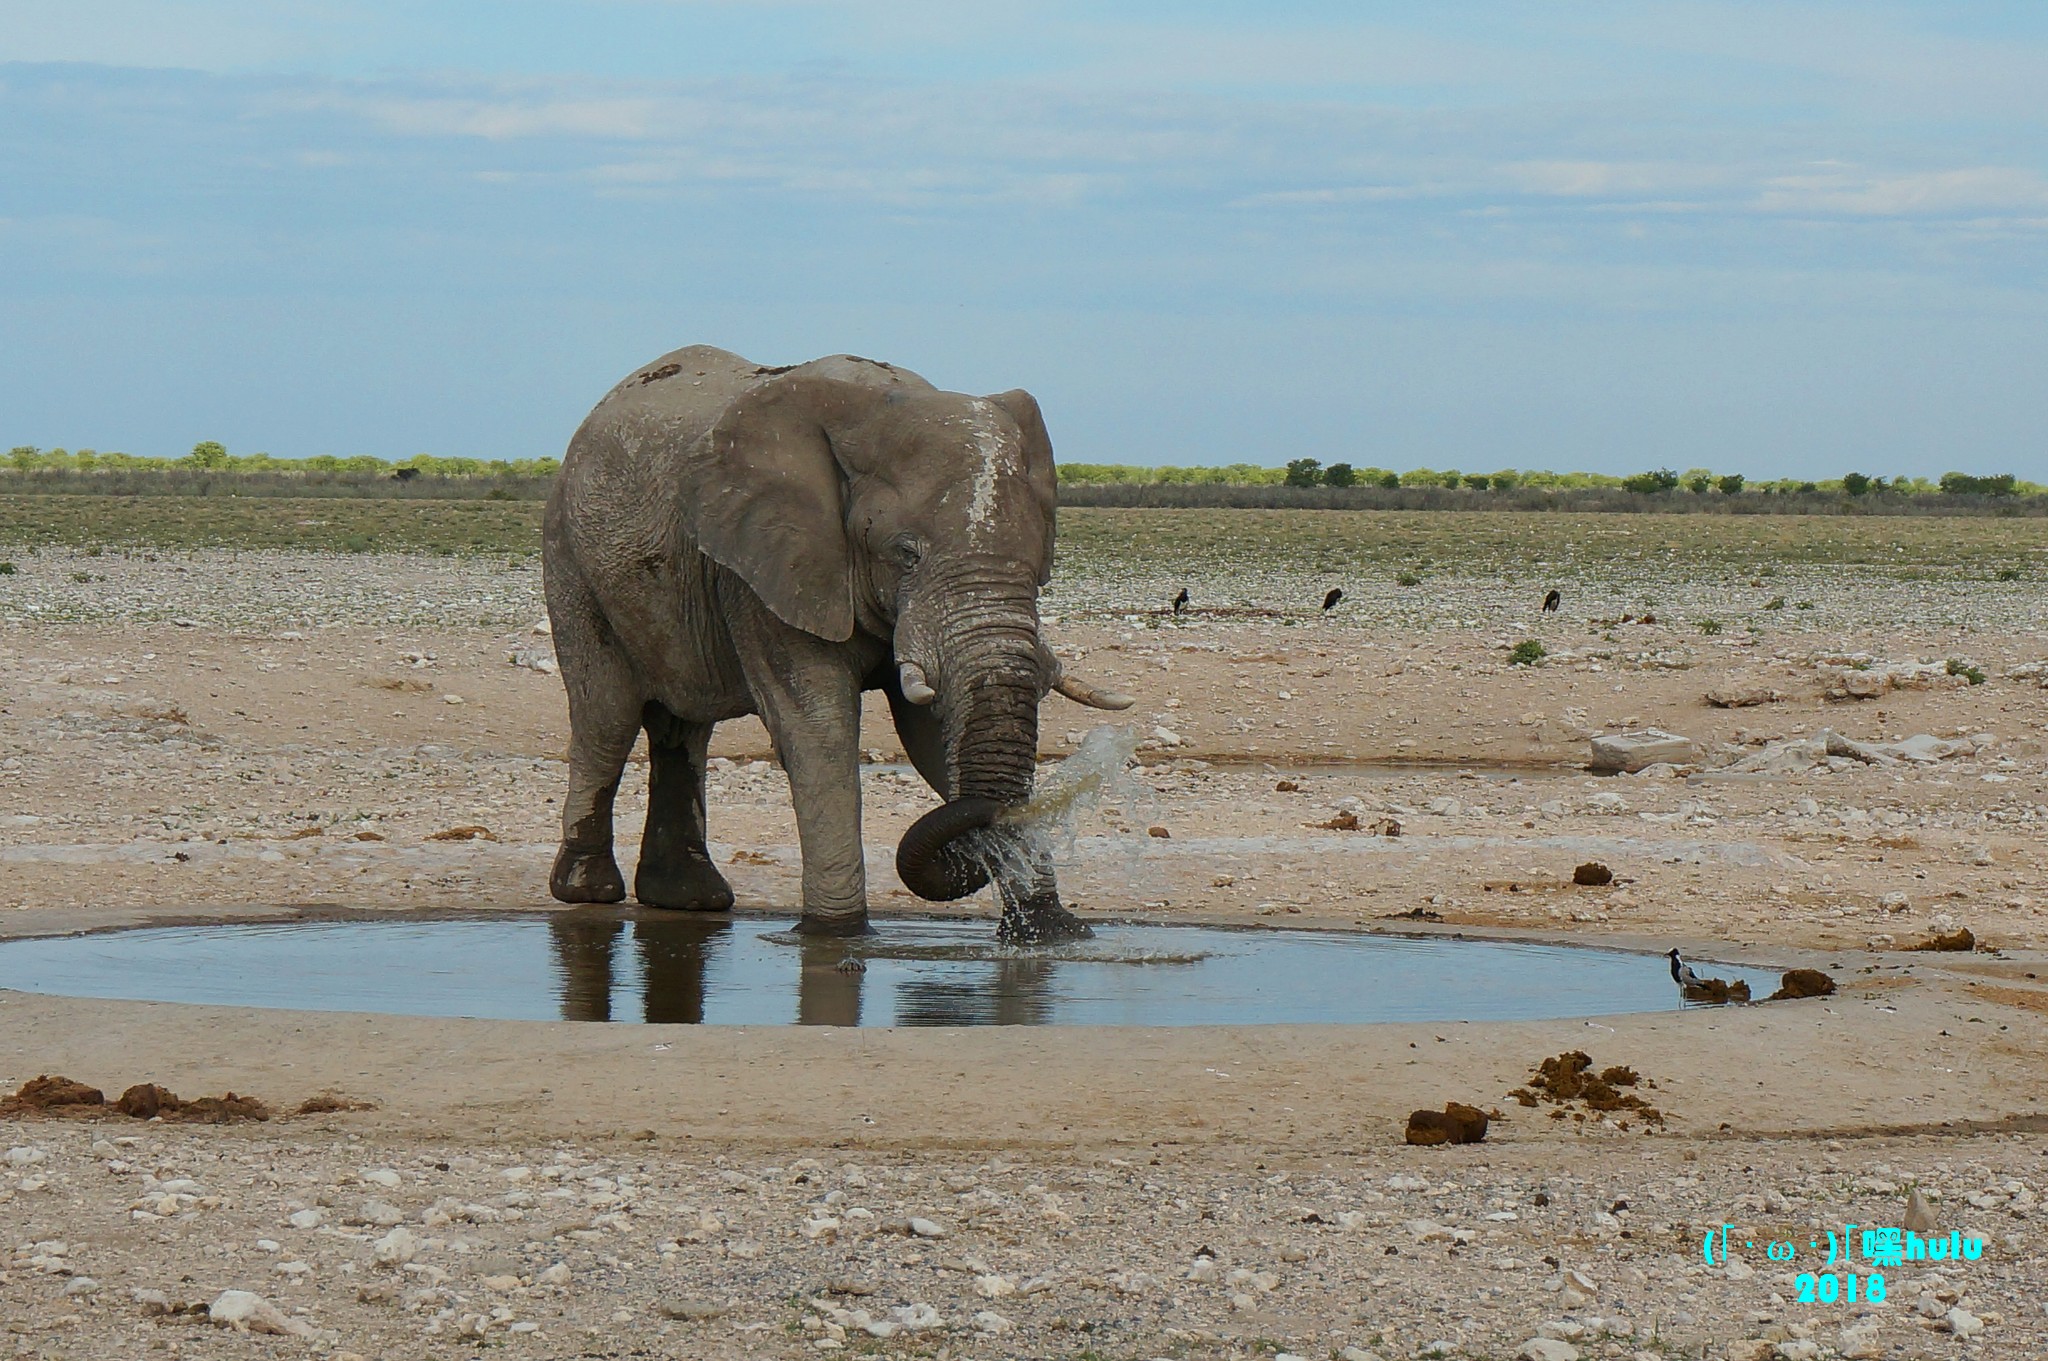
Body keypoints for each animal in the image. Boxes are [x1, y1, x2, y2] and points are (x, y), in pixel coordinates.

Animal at [536, 345, 1130, 941]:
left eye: (1038, 563)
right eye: (905, 554)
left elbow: (934, 733)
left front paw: (1051, 932)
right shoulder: (767, 570)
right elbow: (819, 731)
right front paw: (836, 934)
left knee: (681, 729)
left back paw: (690, 899)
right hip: (570, 561)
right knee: (606, 719)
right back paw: (588, 890)